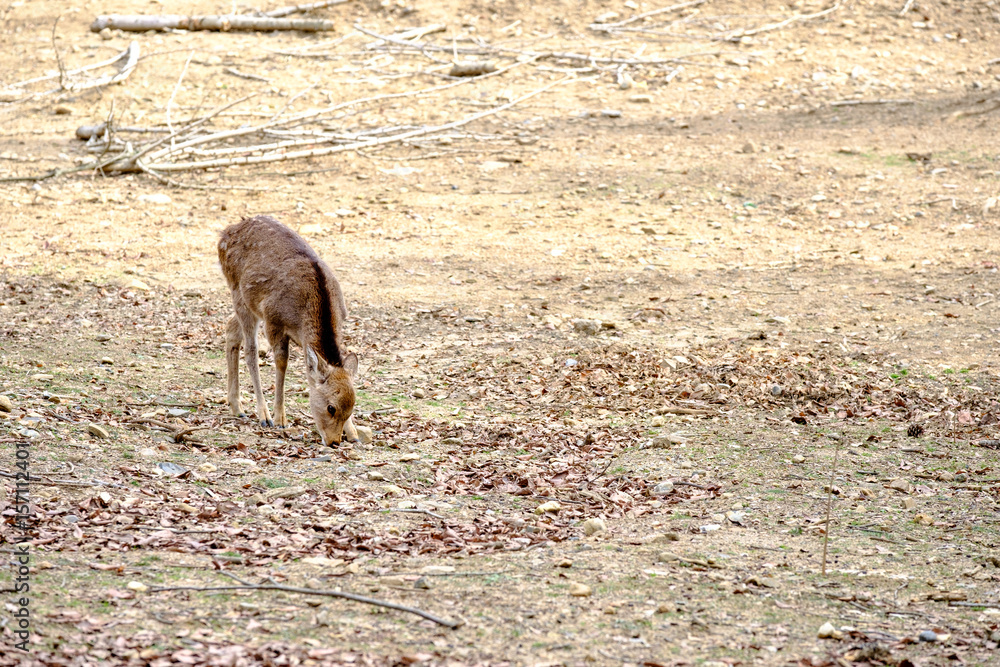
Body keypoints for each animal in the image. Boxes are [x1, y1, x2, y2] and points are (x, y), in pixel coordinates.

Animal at [218, 214, 359, 446]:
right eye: (331, 407)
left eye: (351, 407)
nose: (334, 442)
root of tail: (225, 233)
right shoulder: (274, 322)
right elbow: (282, 363)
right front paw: (280, 419)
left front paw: (354, 433)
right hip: (238, 291)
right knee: (250, 351)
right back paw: (263, 415)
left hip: (249, 305)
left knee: (230, 328)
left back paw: (236, 407)